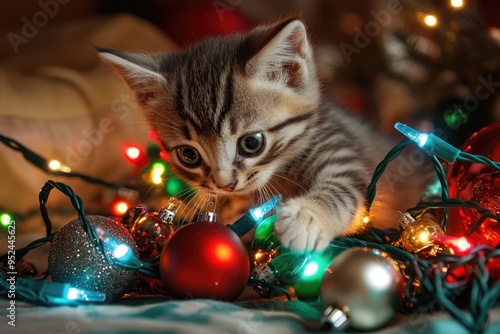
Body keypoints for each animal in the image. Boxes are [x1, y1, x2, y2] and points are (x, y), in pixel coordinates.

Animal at [98, 18, 430, 252]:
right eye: (189, 154)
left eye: (252, 143)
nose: (225, 184)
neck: (281, 172)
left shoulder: (343, 152)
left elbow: (343, 192)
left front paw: (306, 217)